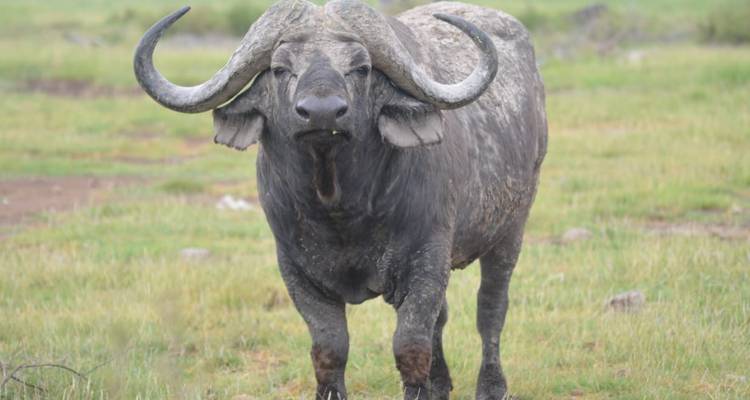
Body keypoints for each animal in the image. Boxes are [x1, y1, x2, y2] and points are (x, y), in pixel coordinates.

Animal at [134, 0, 547, 399]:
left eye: (360, 68)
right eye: (281, 69)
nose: (322, 113)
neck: (341, 211)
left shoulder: (427, 260)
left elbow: (410, 346)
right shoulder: (296, 271)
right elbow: (330, 349)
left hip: (511, 229)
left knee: (490, 308)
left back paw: (491, 386)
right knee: (442, 319)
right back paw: (442, 383)